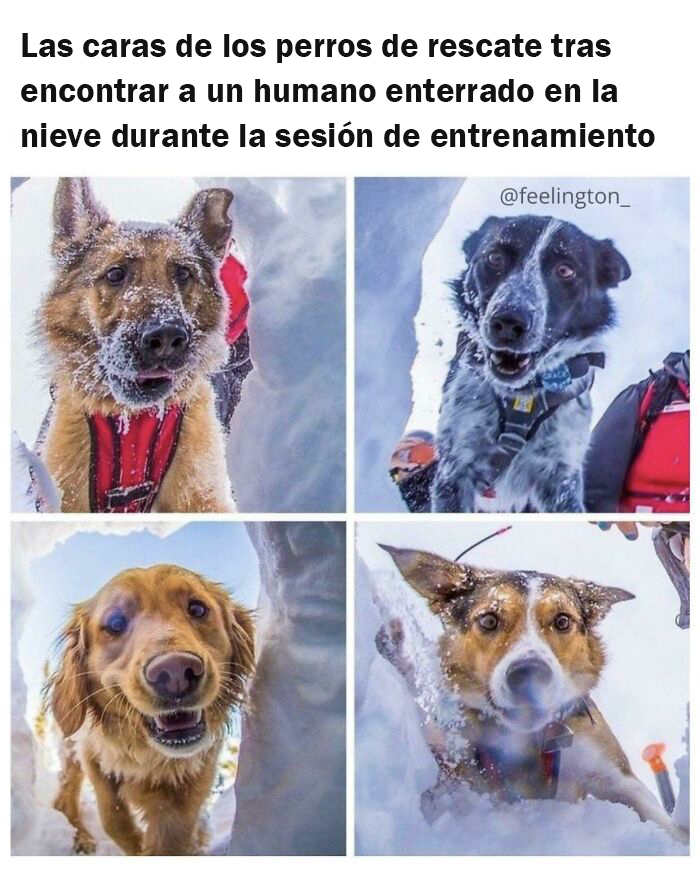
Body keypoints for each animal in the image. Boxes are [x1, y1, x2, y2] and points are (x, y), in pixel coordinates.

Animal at [50, 564, 258, 856]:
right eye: (115, 623)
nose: (175, 672)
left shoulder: (197, 773)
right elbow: (112, 815)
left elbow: (171, 837)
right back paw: (81, 838)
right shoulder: (92, 753)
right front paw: (136, 845)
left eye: (197, 609)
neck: (149, 756)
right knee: (65, 797)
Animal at [378, 544, 688, 844]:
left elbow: (659, 819)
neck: (528, 740)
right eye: (489, 620)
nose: (528, 673)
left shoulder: (612, 771)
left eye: (562, 621)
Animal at [434, 214, 632, 512]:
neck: (521, 398)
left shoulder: (560, 478)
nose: (508, 322)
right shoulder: (455, 469)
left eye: (565, 270)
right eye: (494, 257)